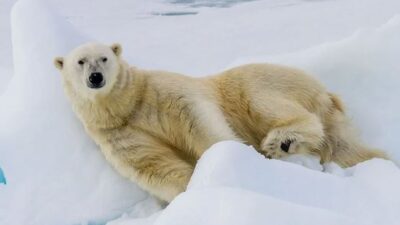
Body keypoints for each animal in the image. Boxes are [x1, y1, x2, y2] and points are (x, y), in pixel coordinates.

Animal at [54, 42, 388, 202]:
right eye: (80, 61)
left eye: (104, 58)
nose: (95, 78)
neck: (128, 105)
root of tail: (325, 92)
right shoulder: (117, 132)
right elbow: (153, 165)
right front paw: (194, 188)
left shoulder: (163, 93)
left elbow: (199, 124)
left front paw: (229, 166)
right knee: (346, 147)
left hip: (264, 82)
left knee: (263, 103)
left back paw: (282, 140)